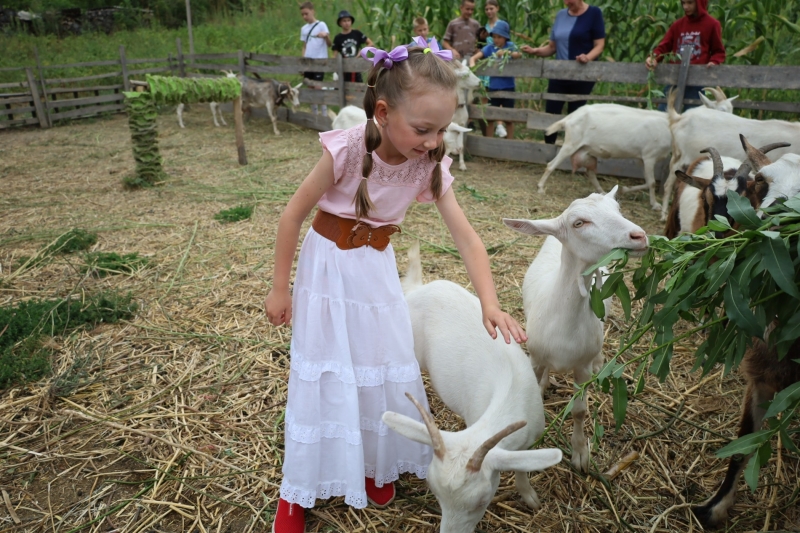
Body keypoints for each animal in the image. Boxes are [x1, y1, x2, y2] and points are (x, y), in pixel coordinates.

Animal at [382, 243, 564, 528]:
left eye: (481, 501)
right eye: (435, 494)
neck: (510, 395)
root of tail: (418, 288)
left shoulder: (529, 438)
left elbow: (521, 467)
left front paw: (530, 498)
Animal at [504, 185, 648, 468]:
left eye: (618, 210)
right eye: (579, 223)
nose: (639, 235)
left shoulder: (582, 367)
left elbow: (580, 411)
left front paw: (580, 452)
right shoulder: (535, 356)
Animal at [536, 88, 736, 211]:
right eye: (720, 110)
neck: (672, 124)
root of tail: (569, 118)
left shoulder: (641, 158)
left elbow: (648, 181)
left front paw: (624, 190)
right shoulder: (649, 156)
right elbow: (651, 182)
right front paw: (655, 204)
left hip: (587, 151)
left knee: (590, 172)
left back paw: (602, 192)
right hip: (571, 142)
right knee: (551, 164)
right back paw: (540, 188)